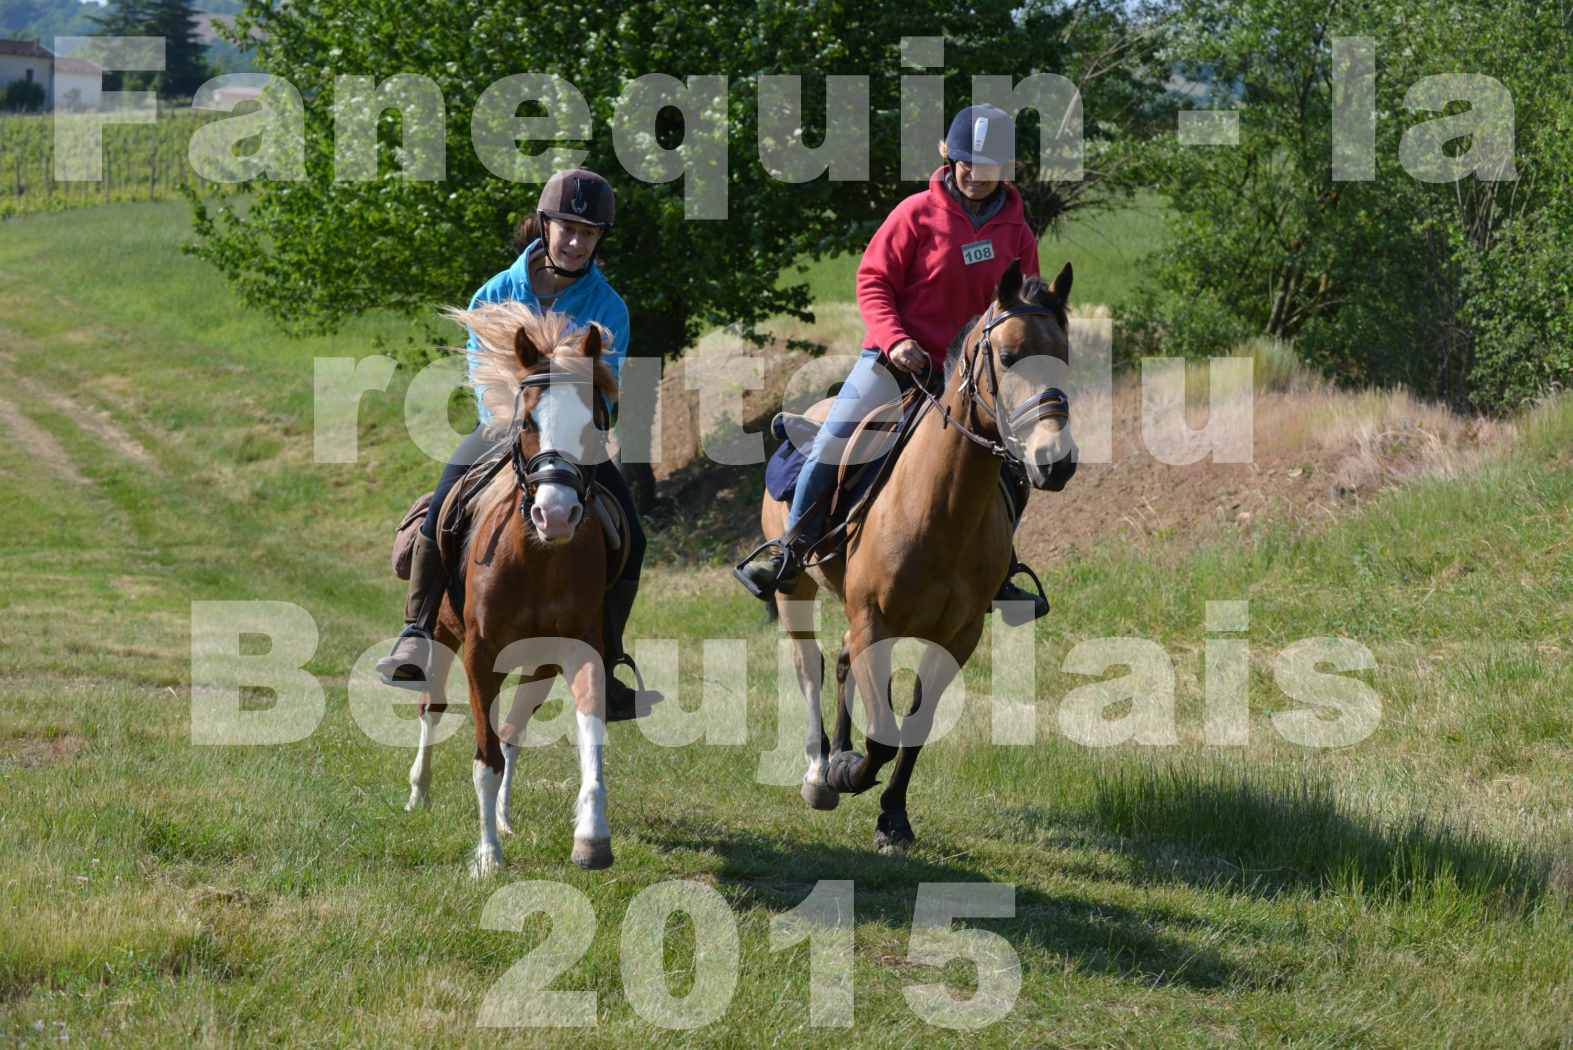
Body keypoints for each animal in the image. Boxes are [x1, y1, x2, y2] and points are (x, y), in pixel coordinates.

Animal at [399, 303, 626, 880]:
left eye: (595, 423)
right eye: (527, 423)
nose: (556, 514)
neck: (539, 558)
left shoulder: (580, 649)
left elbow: (589, 740)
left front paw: (592, 838)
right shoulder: (479, 655)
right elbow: (485, 757)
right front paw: (486, 857)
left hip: (539, 663)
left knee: (514, 729)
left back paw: (502, 816)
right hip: (439, 637)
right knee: (432, 709)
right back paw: (419, 794)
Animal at [755, 260, 1075, 855]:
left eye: (1063, 355)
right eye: (1008, 356)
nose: (1054, 461)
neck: (939, 510)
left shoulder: (958, 636)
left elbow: (915, 726)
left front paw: (892, 818)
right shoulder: (874, 621)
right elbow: (882, 736)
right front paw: (845, 773)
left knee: (839, 661)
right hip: (795, 592)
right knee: (810, 664)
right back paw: (818, 771)